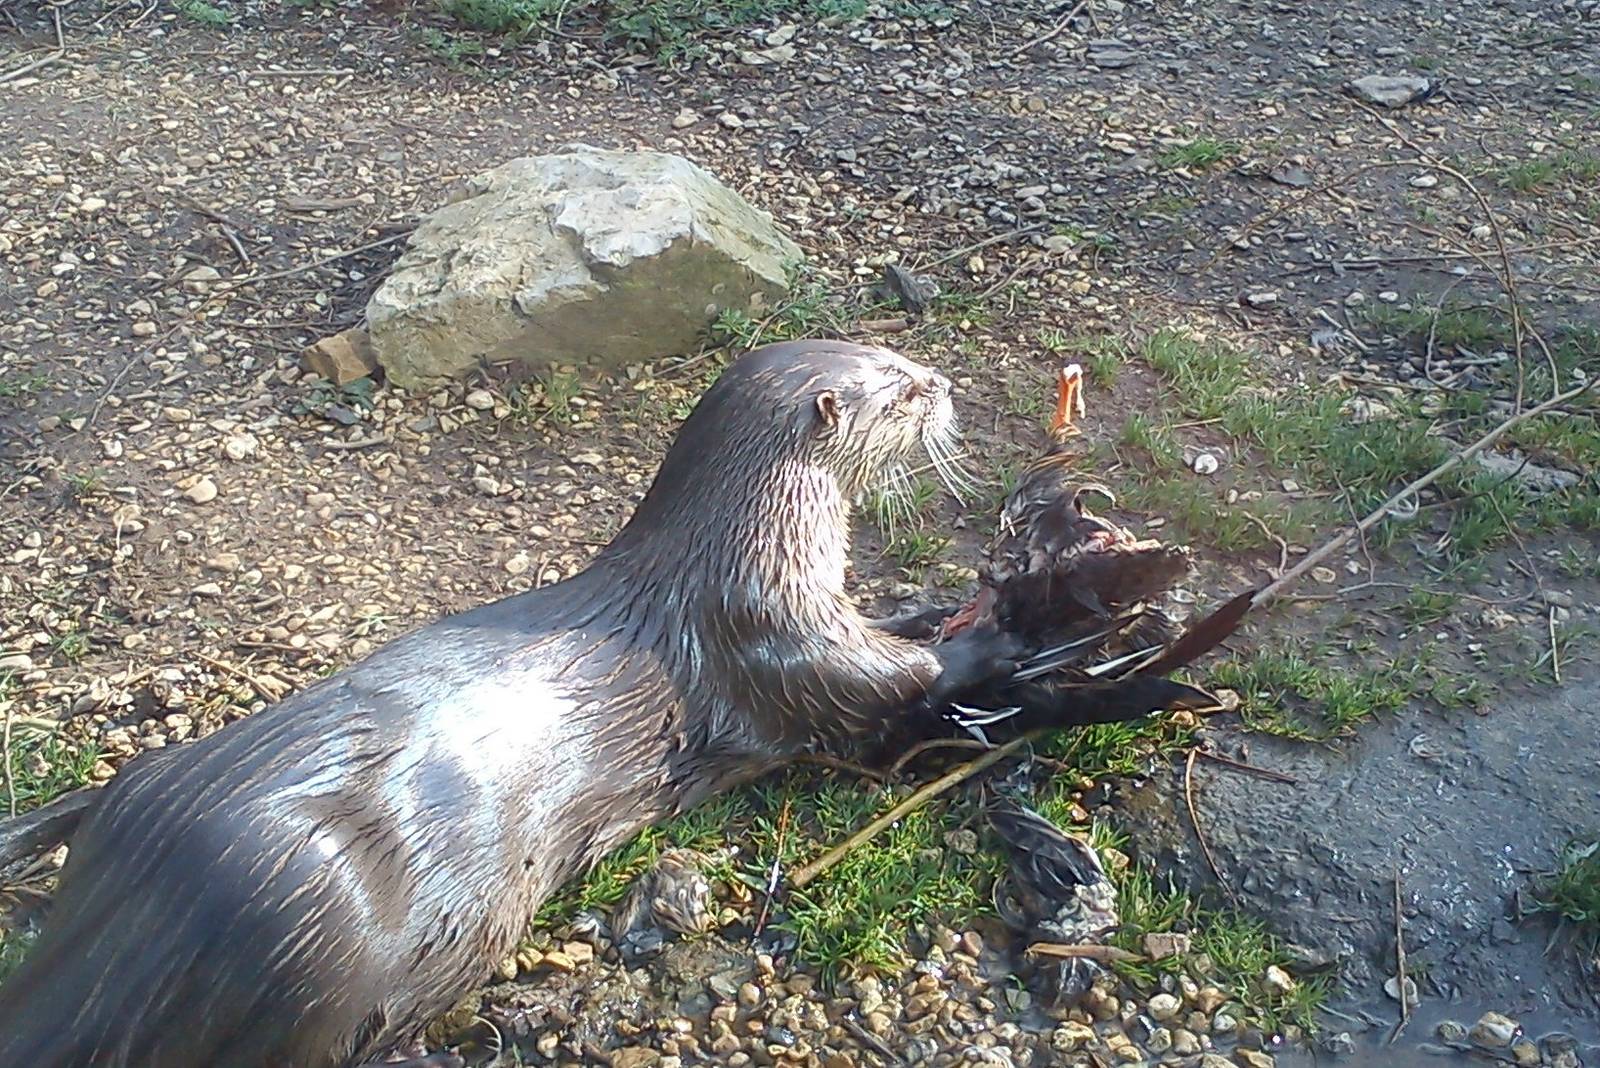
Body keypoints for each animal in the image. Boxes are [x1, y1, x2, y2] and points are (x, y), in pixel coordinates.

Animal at [0, 340, 1025, 1067]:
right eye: (898, 387)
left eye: (893, 357)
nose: (942, 380)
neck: (745, 549)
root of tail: (142, 914)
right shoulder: (773, 634)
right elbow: (874, 683)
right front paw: (995, 639)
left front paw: (934, 605)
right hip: (344, 945)